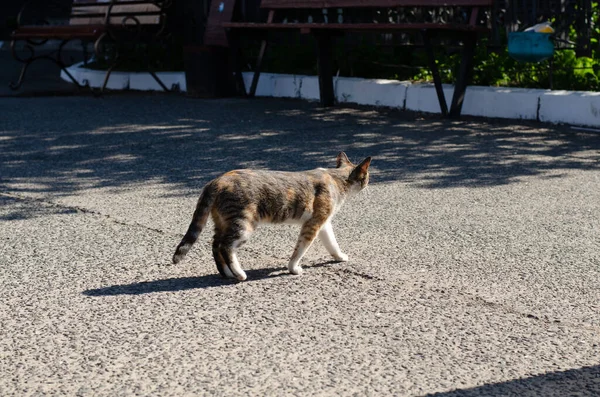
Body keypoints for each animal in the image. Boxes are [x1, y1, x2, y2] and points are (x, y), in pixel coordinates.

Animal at [171, 150, 372, 280]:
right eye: (367, 177)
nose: (368, 184)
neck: (336, 179)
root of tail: (216, 181)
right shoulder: (313, 224)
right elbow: (300, 248)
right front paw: (293, 268)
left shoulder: (323, 223)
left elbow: (331, 242)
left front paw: (339, 256)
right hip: (244, 223)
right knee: (225, 246)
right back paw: (239, 273)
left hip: (222, 221)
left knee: (215, 244)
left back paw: (227, 273)